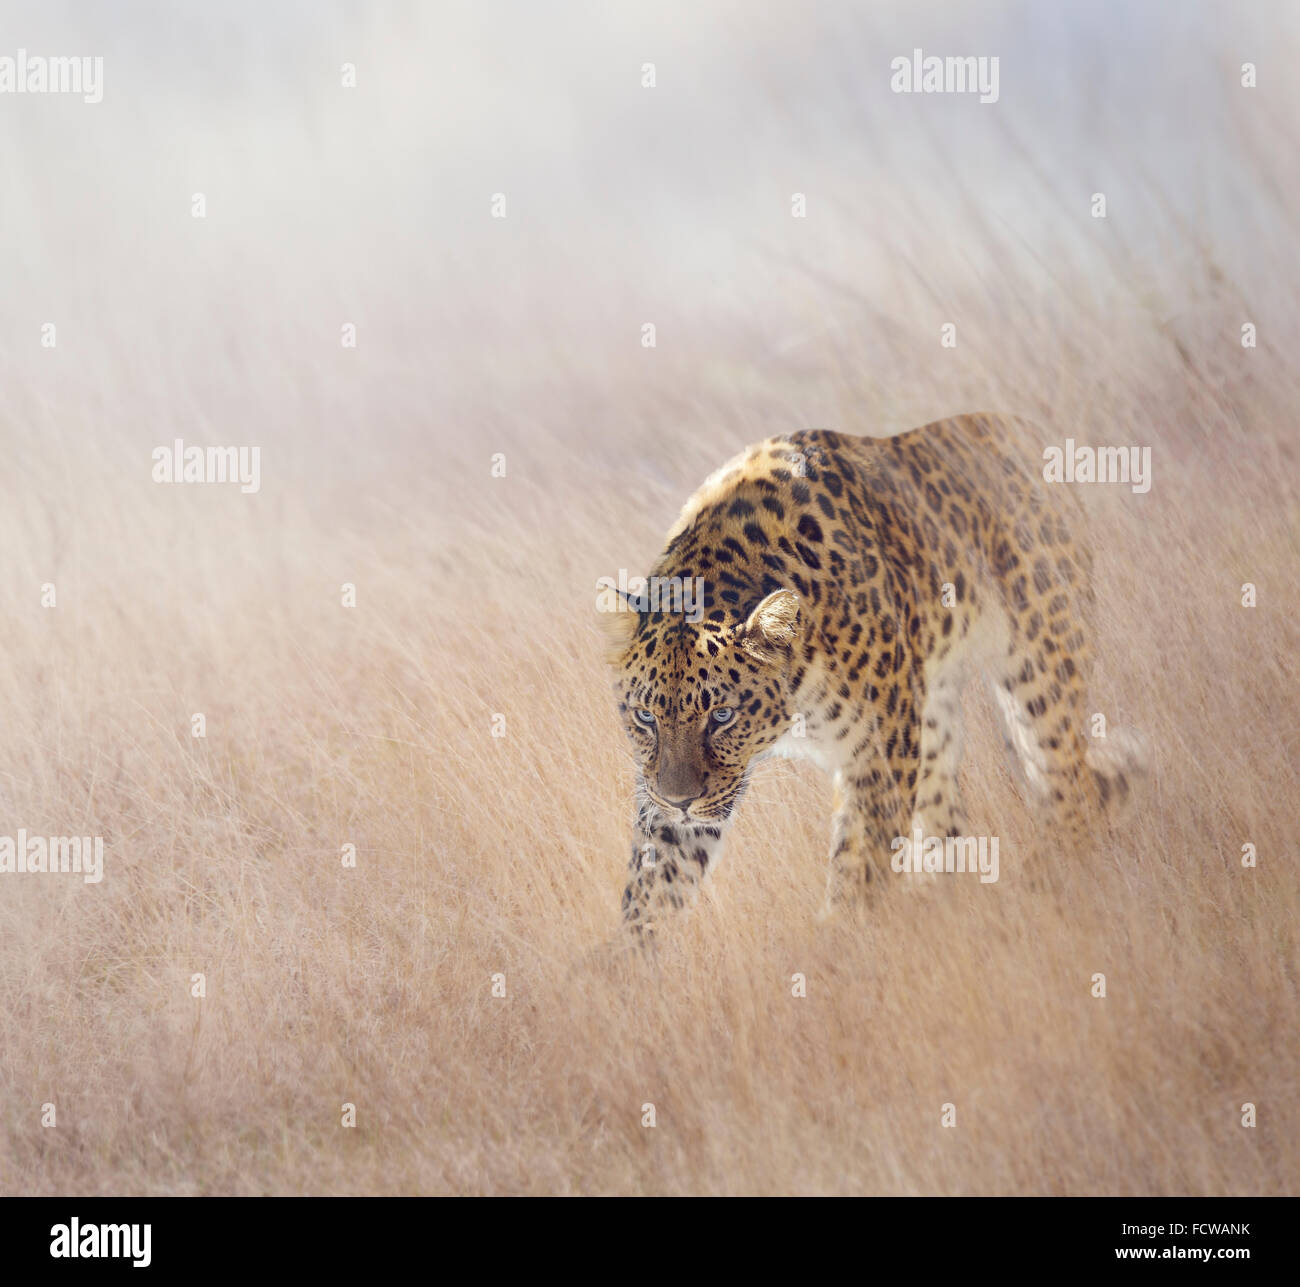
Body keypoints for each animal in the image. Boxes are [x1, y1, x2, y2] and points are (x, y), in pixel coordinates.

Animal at [603, 418, 1144, 941]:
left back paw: (1058, 885)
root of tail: (1024, 434)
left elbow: (859, 862)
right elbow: (655, 882)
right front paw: (627, 961)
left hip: (1040, 669)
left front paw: (844, 943)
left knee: (1068, 788)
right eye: (646, 717)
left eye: (722, 715)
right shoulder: (665, 792)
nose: (681, 801)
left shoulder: (878, 749)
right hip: (933, 716)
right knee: (947, 817)